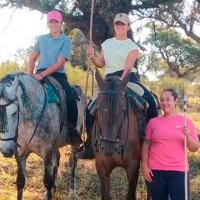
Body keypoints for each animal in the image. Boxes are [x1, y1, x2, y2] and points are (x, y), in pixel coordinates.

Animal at [91, 69, 145, 200]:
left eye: (124, 111)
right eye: (98, 109)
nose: (108, 150)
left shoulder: (133, 167)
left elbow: (130, 195)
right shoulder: (101, 167)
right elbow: (106, 196)